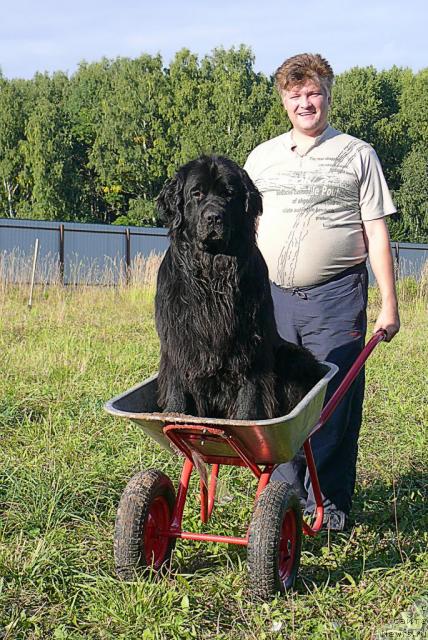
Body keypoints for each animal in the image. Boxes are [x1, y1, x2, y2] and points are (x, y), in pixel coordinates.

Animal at [155, 152, 322, 418]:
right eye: (196, 193)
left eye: (229, 194)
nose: (213, 217)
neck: (213, 273)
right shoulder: (177, 338)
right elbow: (177, 384)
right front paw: (174, 414)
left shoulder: (252, 342)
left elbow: (250, 393)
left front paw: (247, 421)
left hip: (293, 356)